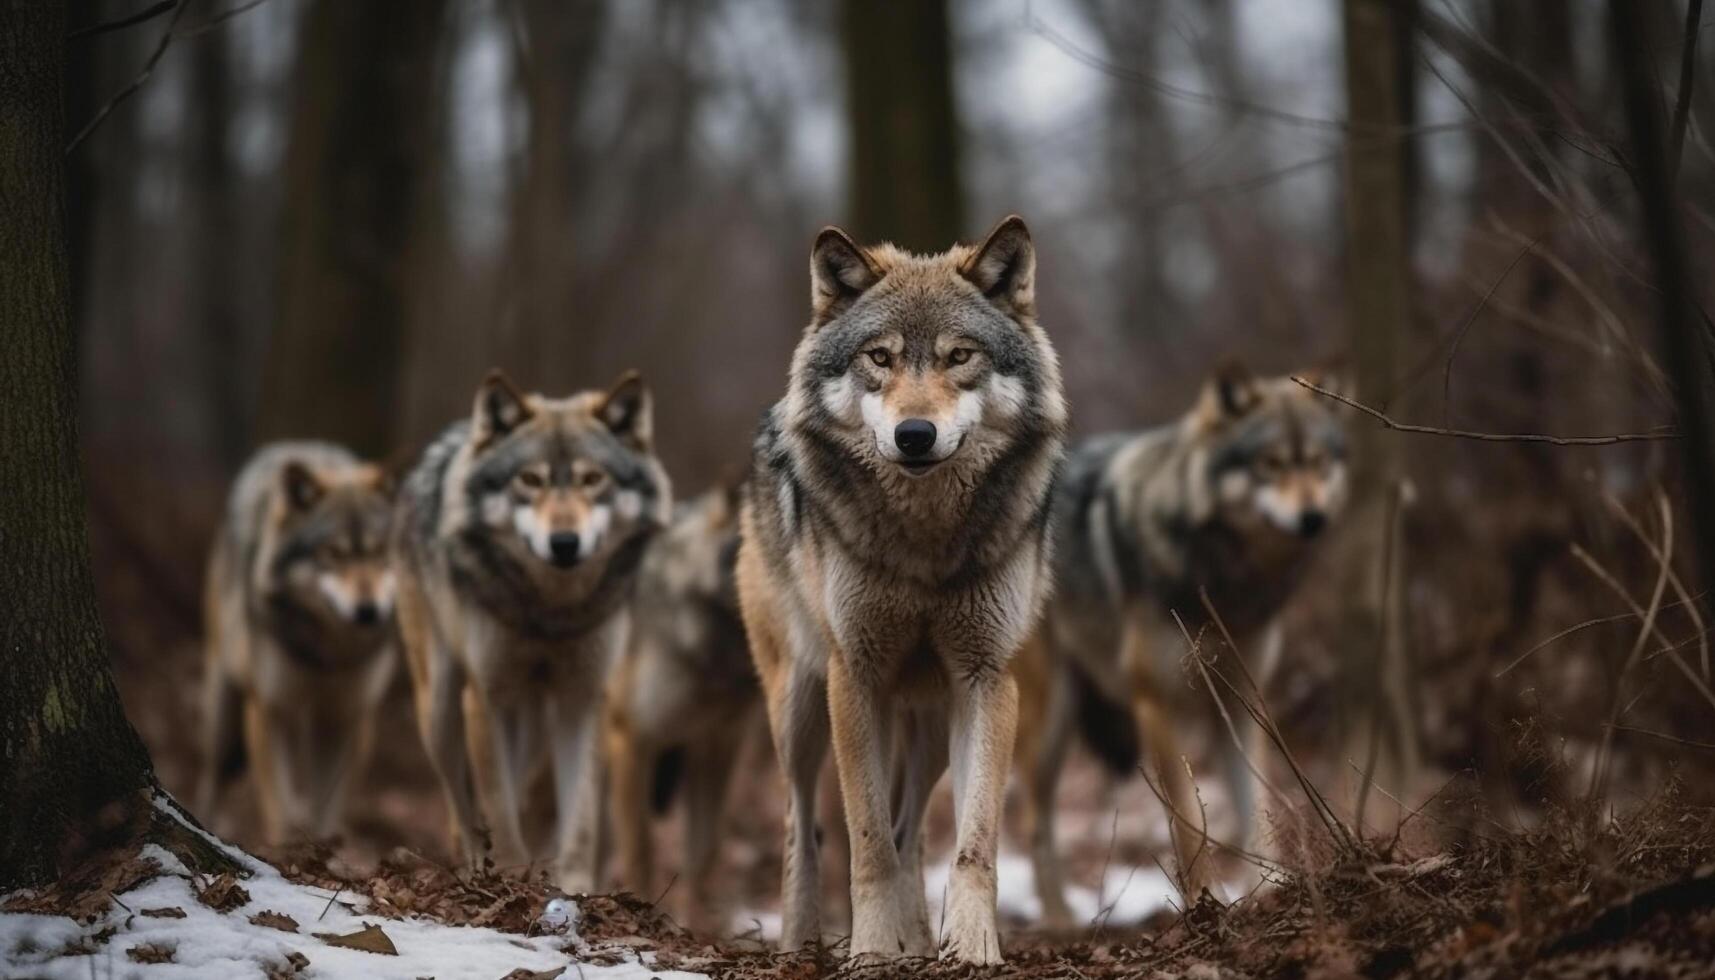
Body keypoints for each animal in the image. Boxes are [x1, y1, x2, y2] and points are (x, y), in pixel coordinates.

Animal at [394, 370, 668, 899]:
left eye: (591, 479)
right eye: (530, 480)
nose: (564, 543)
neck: (551, 612)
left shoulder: (584, 699)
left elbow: (580, 819)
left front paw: (576, 888)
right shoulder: (488, 698)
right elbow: (497, 806)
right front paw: (507, 877)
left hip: (532, 721)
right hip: (440, 708)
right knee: (461, 802)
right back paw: (471, 866)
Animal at [740, 216, 1063, 967]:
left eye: (959, 356)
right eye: (880, 358)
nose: (915, 434)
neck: (925, 543)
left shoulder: (985, 678)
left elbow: (972, 843)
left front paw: (971, 947)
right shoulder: (854, 675)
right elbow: (865, 842)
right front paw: (871, 949)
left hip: (928, 720)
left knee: (911, 826)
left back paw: (919, 938)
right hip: (800, 706)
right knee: (803, 823)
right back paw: (801, 942)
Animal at [1001, 360, 1351, 919]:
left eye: (1318, 463)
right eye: (1270, 464)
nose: (1313, 518)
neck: (1223, 577)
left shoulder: (1241, 699)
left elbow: (1256, 803)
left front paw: (1270, 892)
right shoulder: (1154, 702)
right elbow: (1187, 820)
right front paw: (1205, 902)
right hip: (1050, 716)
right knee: (1032, 821)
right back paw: (1060, 921)